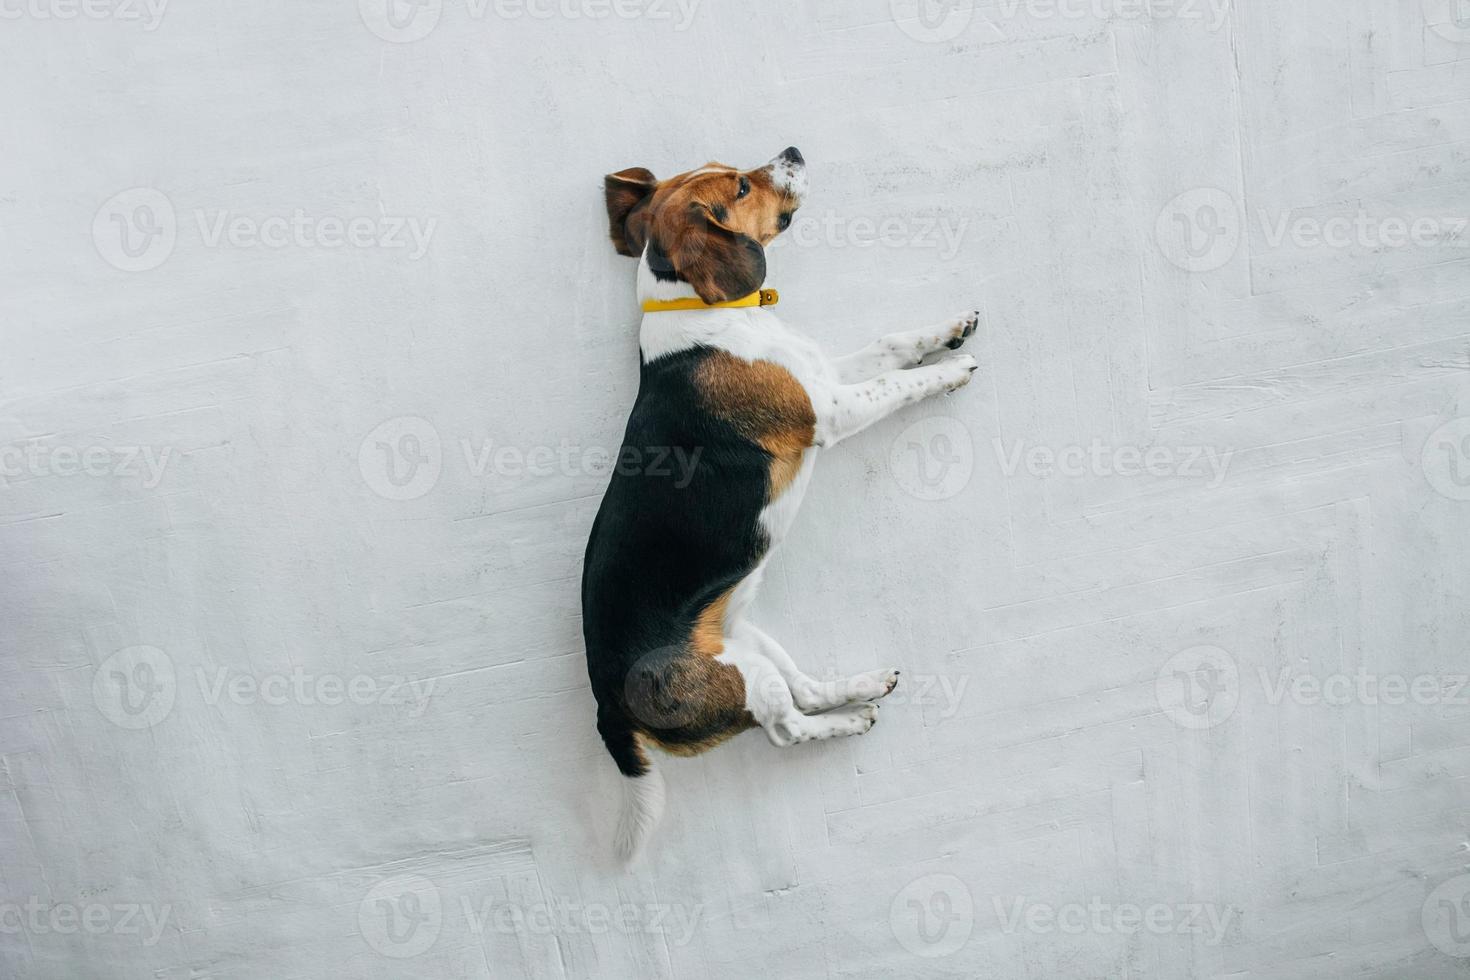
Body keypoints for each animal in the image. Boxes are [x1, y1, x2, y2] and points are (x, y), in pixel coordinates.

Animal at [582, 145, 976, 858]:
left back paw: (859, 688)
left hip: (749, 640)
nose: (793, 151)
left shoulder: (826, 375)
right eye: (740, 186)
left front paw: (949, 329)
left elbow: (889, 345)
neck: (705, 310)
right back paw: (851, 723)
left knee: (807, 691)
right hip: (745, 677)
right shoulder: (831, 409)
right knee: (789, 727)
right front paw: (947, 371)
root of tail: (605, 703)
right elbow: (897, 383)